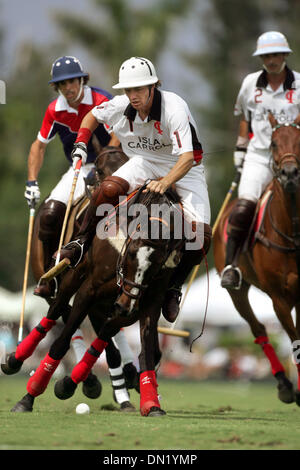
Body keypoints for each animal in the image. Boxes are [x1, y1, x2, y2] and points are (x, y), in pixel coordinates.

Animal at [213, 114, 300, 408]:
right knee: (258, 328)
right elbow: (295, 341)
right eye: (273, 143)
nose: (290, 173)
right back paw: (285, 385)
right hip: (237, 292)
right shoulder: (279, 298)